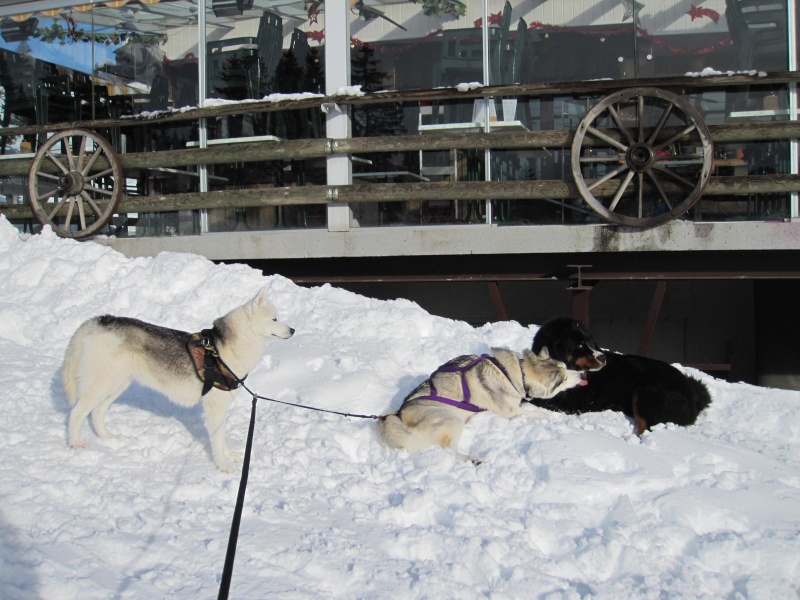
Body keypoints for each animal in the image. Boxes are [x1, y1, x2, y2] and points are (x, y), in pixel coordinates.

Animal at [61, 288, 294, 474]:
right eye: (274, 319)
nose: (293, 330)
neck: (225, 349)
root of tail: (97, 321)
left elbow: (223, 439)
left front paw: (229, 456)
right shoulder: (215, 407)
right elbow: (218, 441)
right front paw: (222, 466)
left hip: (117, 385)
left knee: (96, 413)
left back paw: (106, 437)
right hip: (101, 384)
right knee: (77, 413)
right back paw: (74, 443)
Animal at [378, 344, 584, 462]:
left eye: (566, 368)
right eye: (564, 379)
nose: (583, 375)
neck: (516, 373)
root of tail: (399, 413)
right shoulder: (511, 412)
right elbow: (536, 413)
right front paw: (548, 416)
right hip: (451, 420)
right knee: (450, 450)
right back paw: (471, 459)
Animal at [528, 316, 708, 434]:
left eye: (591, 342)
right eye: (579, 345)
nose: (603, 357)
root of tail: (693, 397)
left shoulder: (569, 402)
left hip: (646, 391)